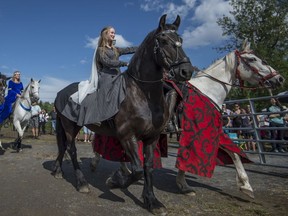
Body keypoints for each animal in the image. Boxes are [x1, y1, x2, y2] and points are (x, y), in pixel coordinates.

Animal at [52, 14, 194, 214]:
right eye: (164, 40)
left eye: (180, 39)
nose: (186, 71)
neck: (141, 94)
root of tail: (60, 93)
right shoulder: (127, 136)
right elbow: (137, 170)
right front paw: (115, 180)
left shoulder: (151, 138)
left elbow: (147, 168)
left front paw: (152, 201)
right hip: (69, 126)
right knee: (71, 149)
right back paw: (81, 183)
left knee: (63, 146)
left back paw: (58, 171)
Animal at [91, 39, 284, 199]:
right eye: (252, 59)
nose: (279, 78)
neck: (207, 91)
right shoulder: (198, 131)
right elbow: (190, 156)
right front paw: (183, 185)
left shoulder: (213, 131)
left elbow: (233, 153)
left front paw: (245, 186)